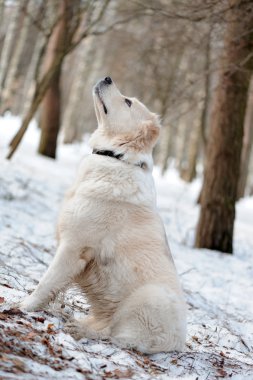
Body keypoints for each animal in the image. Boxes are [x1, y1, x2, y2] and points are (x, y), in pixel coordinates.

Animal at [20, 76, 186, 354]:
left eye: (128, 102)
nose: (107, 77)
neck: (118, 158)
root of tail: (180, 343)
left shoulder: (73, 247)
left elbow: (45, 282)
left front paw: (21, 306)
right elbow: (53, 285)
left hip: (147, 298)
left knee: (115, 336)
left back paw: (81, 330)